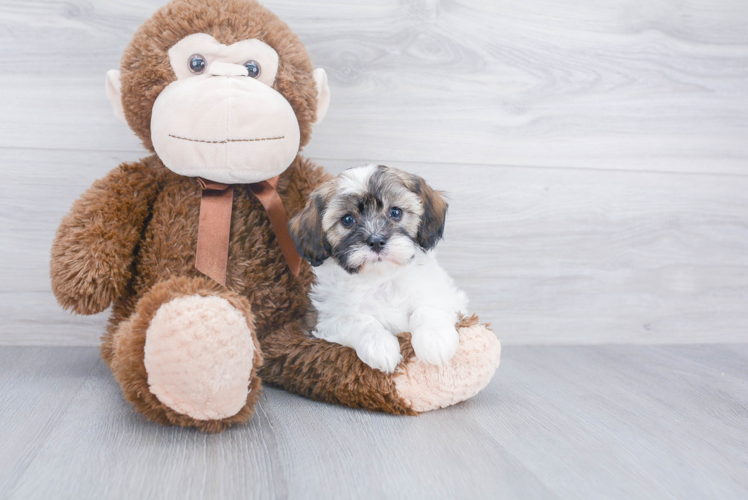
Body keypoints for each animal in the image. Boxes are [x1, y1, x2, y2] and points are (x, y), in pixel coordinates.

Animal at [288, 164, 468, 372]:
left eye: (396, 212)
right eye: (347, 220)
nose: (375, 240)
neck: (381, 279)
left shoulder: (445, 296)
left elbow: (427, 308)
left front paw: (435, 339)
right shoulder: (324, 319)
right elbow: (360, 320)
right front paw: (379, 346)